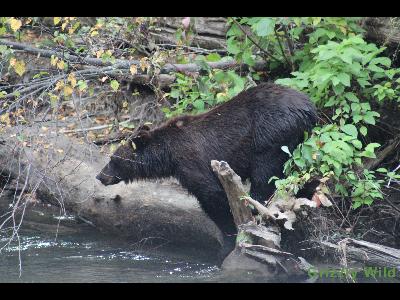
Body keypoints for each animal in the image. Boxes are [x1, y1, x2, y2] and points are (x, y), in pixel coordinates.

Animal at [95, 82, 318, 237]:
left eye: (113, 159)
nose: (100, 176)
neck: (168, 157)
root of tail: (309, 107)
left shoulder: (191, 162)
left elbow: (212, 195)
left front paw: (229, 229)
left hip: (271, 137)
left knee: (264, 176)